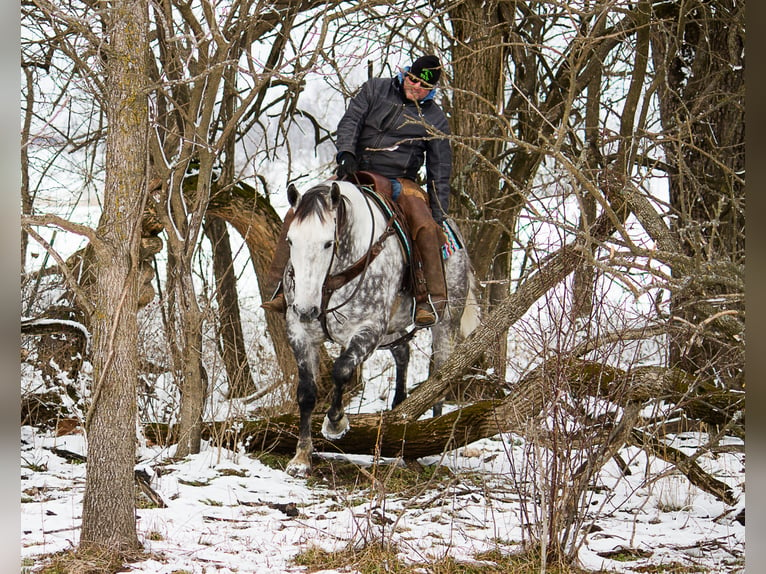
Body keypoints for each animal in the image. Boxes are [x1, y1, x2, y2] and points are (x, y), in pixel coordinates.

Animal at [282, 182, 480, 480]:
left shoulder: (370, 329)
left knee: (440, 376)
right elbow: (306, 392)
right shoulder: (300, 332)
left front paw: (335, 424)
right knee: (403, 352)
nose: (306, 309)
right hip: (391, 330)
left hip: (446, 323)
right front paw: (301, 458)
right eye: (291, 241)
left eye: (328, 243)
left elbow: (341, 370)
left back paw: (434, 438)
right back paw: (399, 410)